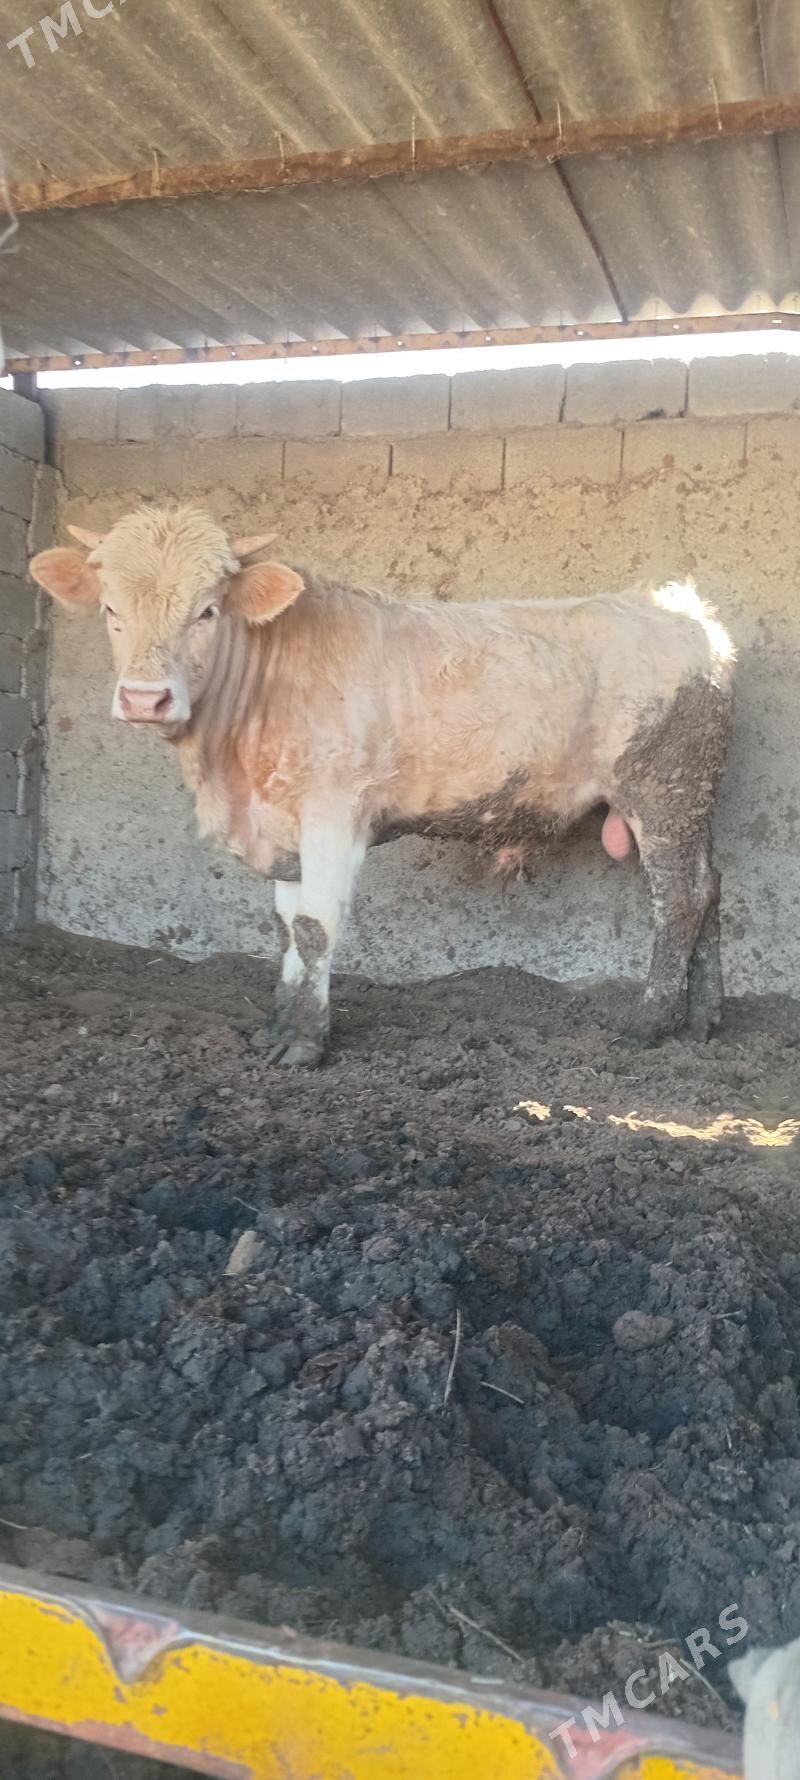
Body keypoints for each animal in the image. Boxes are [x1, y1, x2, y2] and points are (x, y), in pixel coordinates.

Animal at [30, 505, 735, 1068]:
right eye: (110, 609)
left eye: (207, 610)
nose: (144, 698)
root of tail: (685, 609)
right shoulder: (285, 821)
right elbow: (286, 928)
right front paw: (277, 1026)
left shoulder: (334, 809)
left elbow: (315, 925)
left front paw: (305, 1042)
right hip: (692, 798)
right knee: (710, 887)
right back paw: (703, 1020)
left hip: (662, 786)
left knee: (678, 898)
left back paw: (650, 1024)